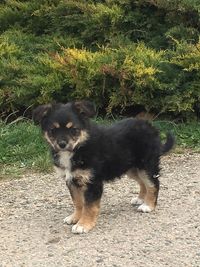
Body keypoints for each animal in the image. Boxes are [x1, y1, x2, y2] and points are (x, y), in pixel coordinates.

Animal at [32, 101, 173, 236]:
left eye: (74, 129)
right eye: (52, 130)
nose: (62, 144)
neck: (79, 148)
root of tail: (151, 127)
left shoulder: (92, 182)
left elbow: (89, 206)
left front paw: (83, 224)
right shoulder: (71, 180)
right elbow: (78, 202)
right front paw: (75, 217)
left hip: (146, 165)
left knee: (153, 184)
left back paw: (148, 205)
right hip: (131, 168)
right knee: (143, 183)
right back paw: (140, 199)